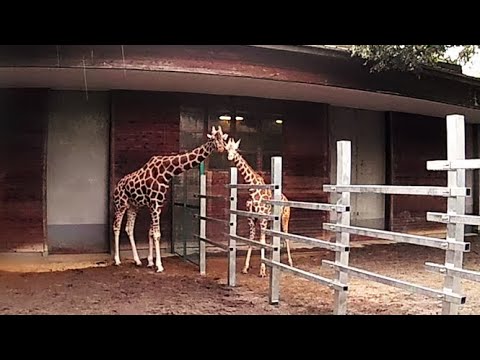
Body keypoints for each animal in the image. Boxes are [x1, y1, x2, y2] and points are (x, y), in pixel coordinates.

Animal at [112, 126, 229, 272]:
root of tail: (116, 187)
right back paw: (117, 260)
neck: (167, 172)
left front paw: (150, 261)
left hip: (133, 206)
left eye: (223, 138)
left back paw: (137, 260)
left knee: (129, 228)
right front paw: (159, 265)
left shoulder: (157, 204)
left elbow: (151, 232)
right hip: (120, 204)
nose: (221, 148)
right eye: (213, 139)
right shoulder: (154, 203)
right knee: (116, 227)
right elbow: (157, 234)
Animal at [225, 136, 292, 278]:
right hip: (273, 221)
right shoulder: (251, 219)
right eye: (227, 148)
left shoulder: (262, 218)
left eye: (236, 149)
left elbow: (261, 241)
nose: (230, 156)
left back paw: (289, 263)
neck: (252, 190)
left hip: (285, 218)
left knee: (286, 236)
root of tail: (286, 199)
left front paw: (262, 271)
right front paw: (245, 268)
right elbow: (252, 240)